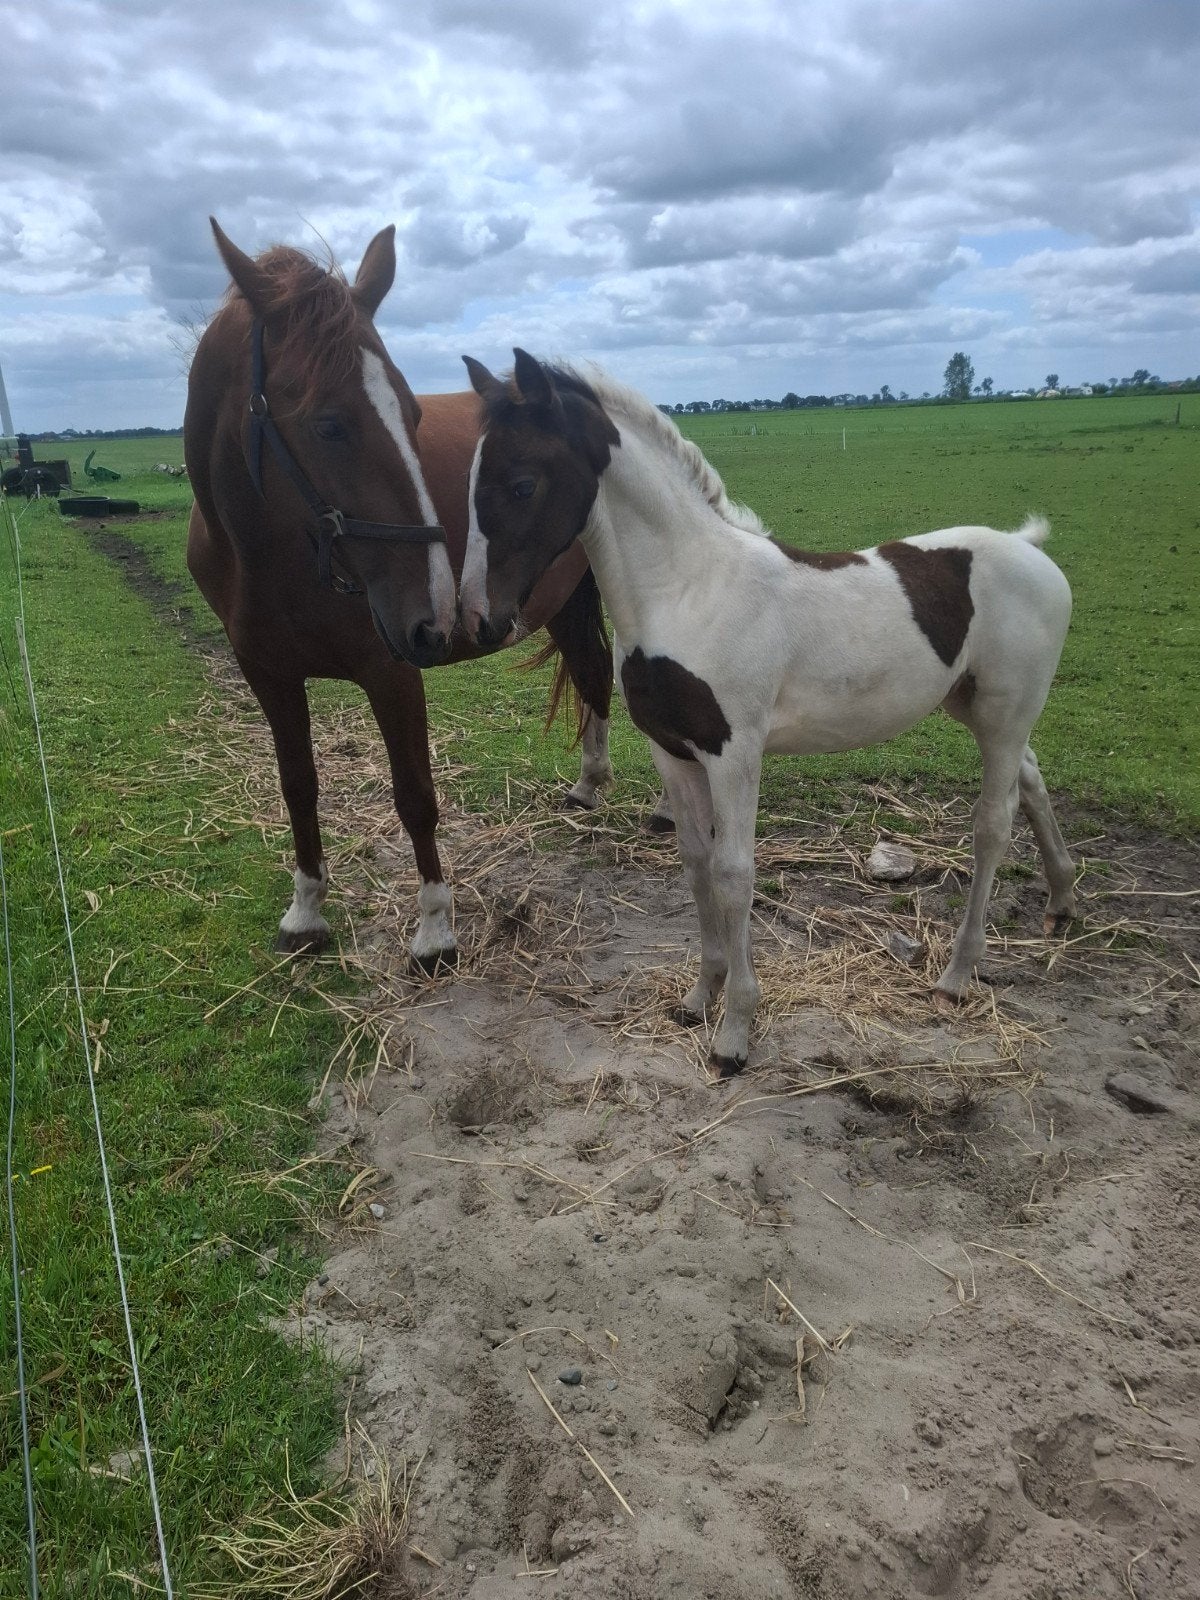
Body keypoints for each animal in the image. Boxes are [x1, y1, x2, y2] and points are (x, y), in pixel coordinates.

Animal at [184, 225, 618, 969]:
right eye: (328, 423)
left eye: (413, 412)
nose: (439, 613)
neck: (268, 550)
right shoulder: (267, 674)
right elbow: (298, 786)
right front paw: (305, 912)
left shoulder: (391, 670)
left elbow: (415, 794)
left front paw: (436, 929)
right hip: (560, 605)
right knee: (591, 672)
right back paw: (587, 785)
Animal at [459, 350, 1078, 1077]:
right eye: (472, 479)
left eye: (522, 483)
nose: (479, 619)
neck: (688, 589)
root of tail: (1031, 548)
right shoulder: (673, 751)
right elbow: (696, 863)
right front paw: (700, 996)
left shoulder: (734, 752)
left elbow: (733, 873)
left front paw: (735, 1033)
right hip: (978, 709)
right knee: (1032, 779)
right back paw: (1062, 901)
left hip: (1004, 716)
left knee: (992, 826)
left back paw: (957, 974)